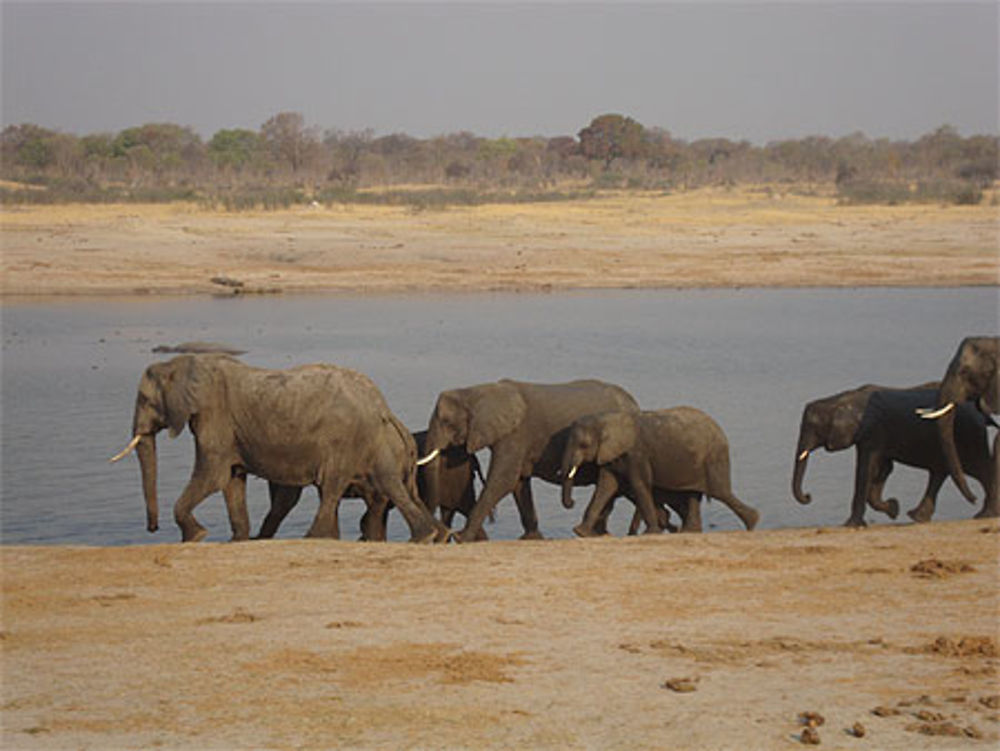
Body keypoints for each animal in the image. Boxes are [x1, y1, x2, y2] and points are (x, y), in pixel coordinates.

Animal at [106, 356, 446, 544]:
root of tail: (383, 408)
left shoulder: (214, 417)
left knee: (335, 486)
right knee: (388, 487)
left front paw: (195, 536)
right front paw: (238, 540)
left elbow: (213, 475)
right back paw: (433, 536)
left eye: (146, 400)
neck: (184, 364)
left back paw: (316, 538)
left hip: (345, 440)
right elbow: (232, 479)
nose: (152, 528)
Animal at [416, 378, 636, 544]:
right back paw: (600, 534)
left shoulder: (515, 434)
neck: (476, 392)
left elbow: (503, 480)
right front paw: (531, 538)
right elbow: (518, 482)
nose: (445, 534)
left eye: (446, 422)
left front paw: (462, 538)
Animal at [564, 408, 756, 536]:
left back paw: (752, 522)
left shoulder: (638, 455)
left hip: (713, 457)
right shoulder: (610, 454)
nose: (572, 502)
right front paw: (581, 532)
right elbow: (605, 487)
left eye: (583, 445)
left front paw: (650, 533)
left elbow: (639, 485)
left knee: (720, 492)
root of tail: (719, 429)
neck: (609, 419)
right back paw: (688, 532)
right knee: (695, 493)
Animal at [792, 384, 940, 520]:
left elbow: (866, 468)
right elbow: (884, 468)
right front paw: (893, 509)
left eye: (814, 428)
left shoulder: (872, 430)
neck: (841, 400)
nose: (808, 496)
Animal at [848, 388, 996, 528]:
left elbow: (870, 467)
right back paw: (916, 516)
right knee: (943, 471)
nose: (975, 500)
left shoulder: (873, 433)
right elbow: (883, 468)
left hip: (968, 437)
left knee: (978, 470)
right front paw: (894, 509)